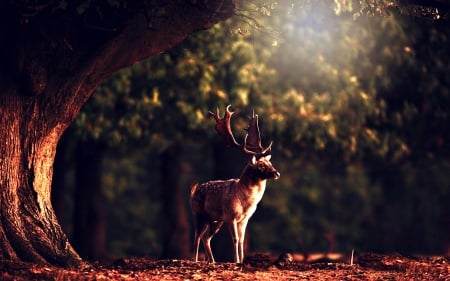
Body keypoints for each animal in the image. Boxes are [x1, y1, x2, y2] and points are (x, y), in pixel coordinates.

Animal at [189, 104, 280, 262]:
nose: (277, 173)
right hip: (198, 214)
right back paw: (195, 260)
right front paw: (236, 260)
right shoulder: (231, 216)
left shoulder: (245, 219)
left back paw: (212, 261)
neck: (246, 203)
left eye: (270, 162)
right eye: (261, 165)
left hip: (215, 220)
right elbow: (236, 239)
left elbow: (242, 240)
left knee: (206, 237)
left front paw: (242, 260)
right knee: (197, 237)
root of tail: (194, 191)